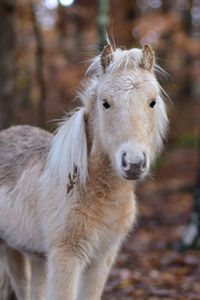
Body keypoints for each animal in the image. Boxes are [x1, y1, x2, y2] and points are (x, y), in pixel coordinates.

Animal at [0, 43, 168, 298]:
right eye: (105, 102)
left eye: (152, 102)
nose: (134, 163)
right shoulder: (65, 256)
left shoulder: (102, 258)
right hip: (11, 249)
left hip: (34, 255)